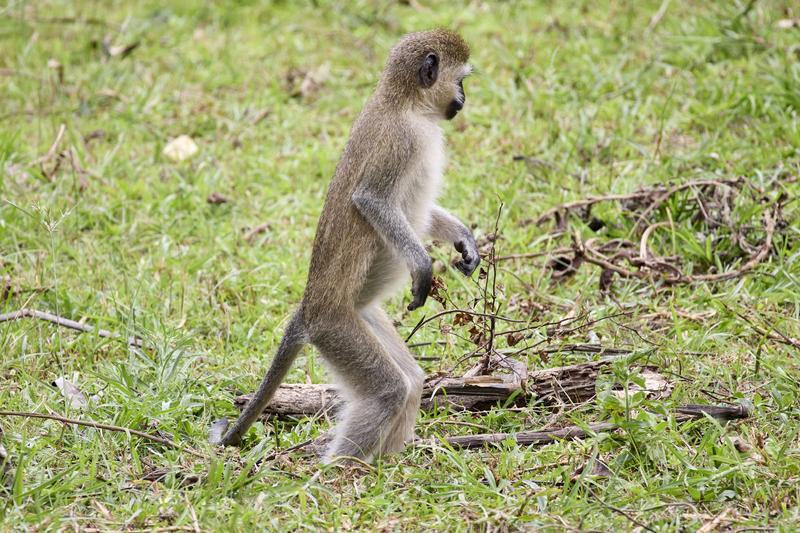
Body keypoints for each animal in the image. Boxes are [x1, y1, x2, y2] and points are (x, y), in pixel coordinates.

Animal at [209, 29, 478, 462]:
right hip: (334, 328)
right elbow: (371, 200)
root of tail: (308, 309)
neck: (405, 104)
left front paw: (462, 238)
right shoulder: (402, 142)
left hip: (360, 315)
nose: (463, 99)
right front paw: (422, 265)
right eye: (461, 80)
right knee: (389, 390)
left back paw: (387, 465)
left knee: (411, 379)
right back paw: (341, 471)